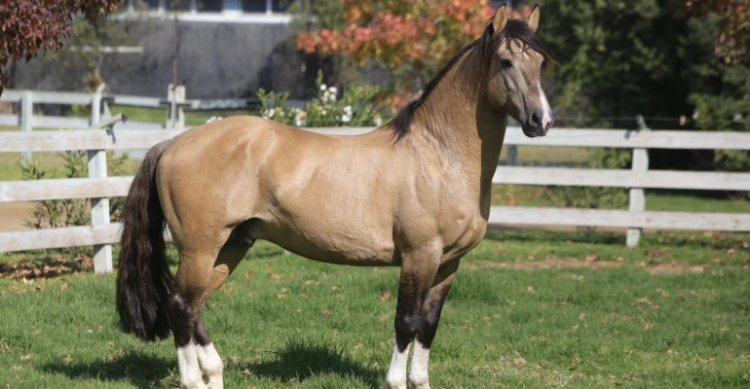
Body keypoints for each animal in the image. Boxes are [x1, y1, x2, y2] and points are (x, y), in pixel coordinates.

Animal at [116, 4, 552, 386]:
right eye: (506, 62)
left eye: (540, 64)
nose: (542, 121)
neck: (438, 157)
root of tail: (172, 143)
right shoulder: (419, 256)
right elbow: (405, 323)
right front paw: (395, 381)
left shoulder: (448, 264)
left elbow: (427, 328)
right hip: (199, 249)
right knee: (180, 306)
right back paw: (193, 379)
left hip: (230, 246)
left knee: (195, 307)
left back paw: (214, 374)